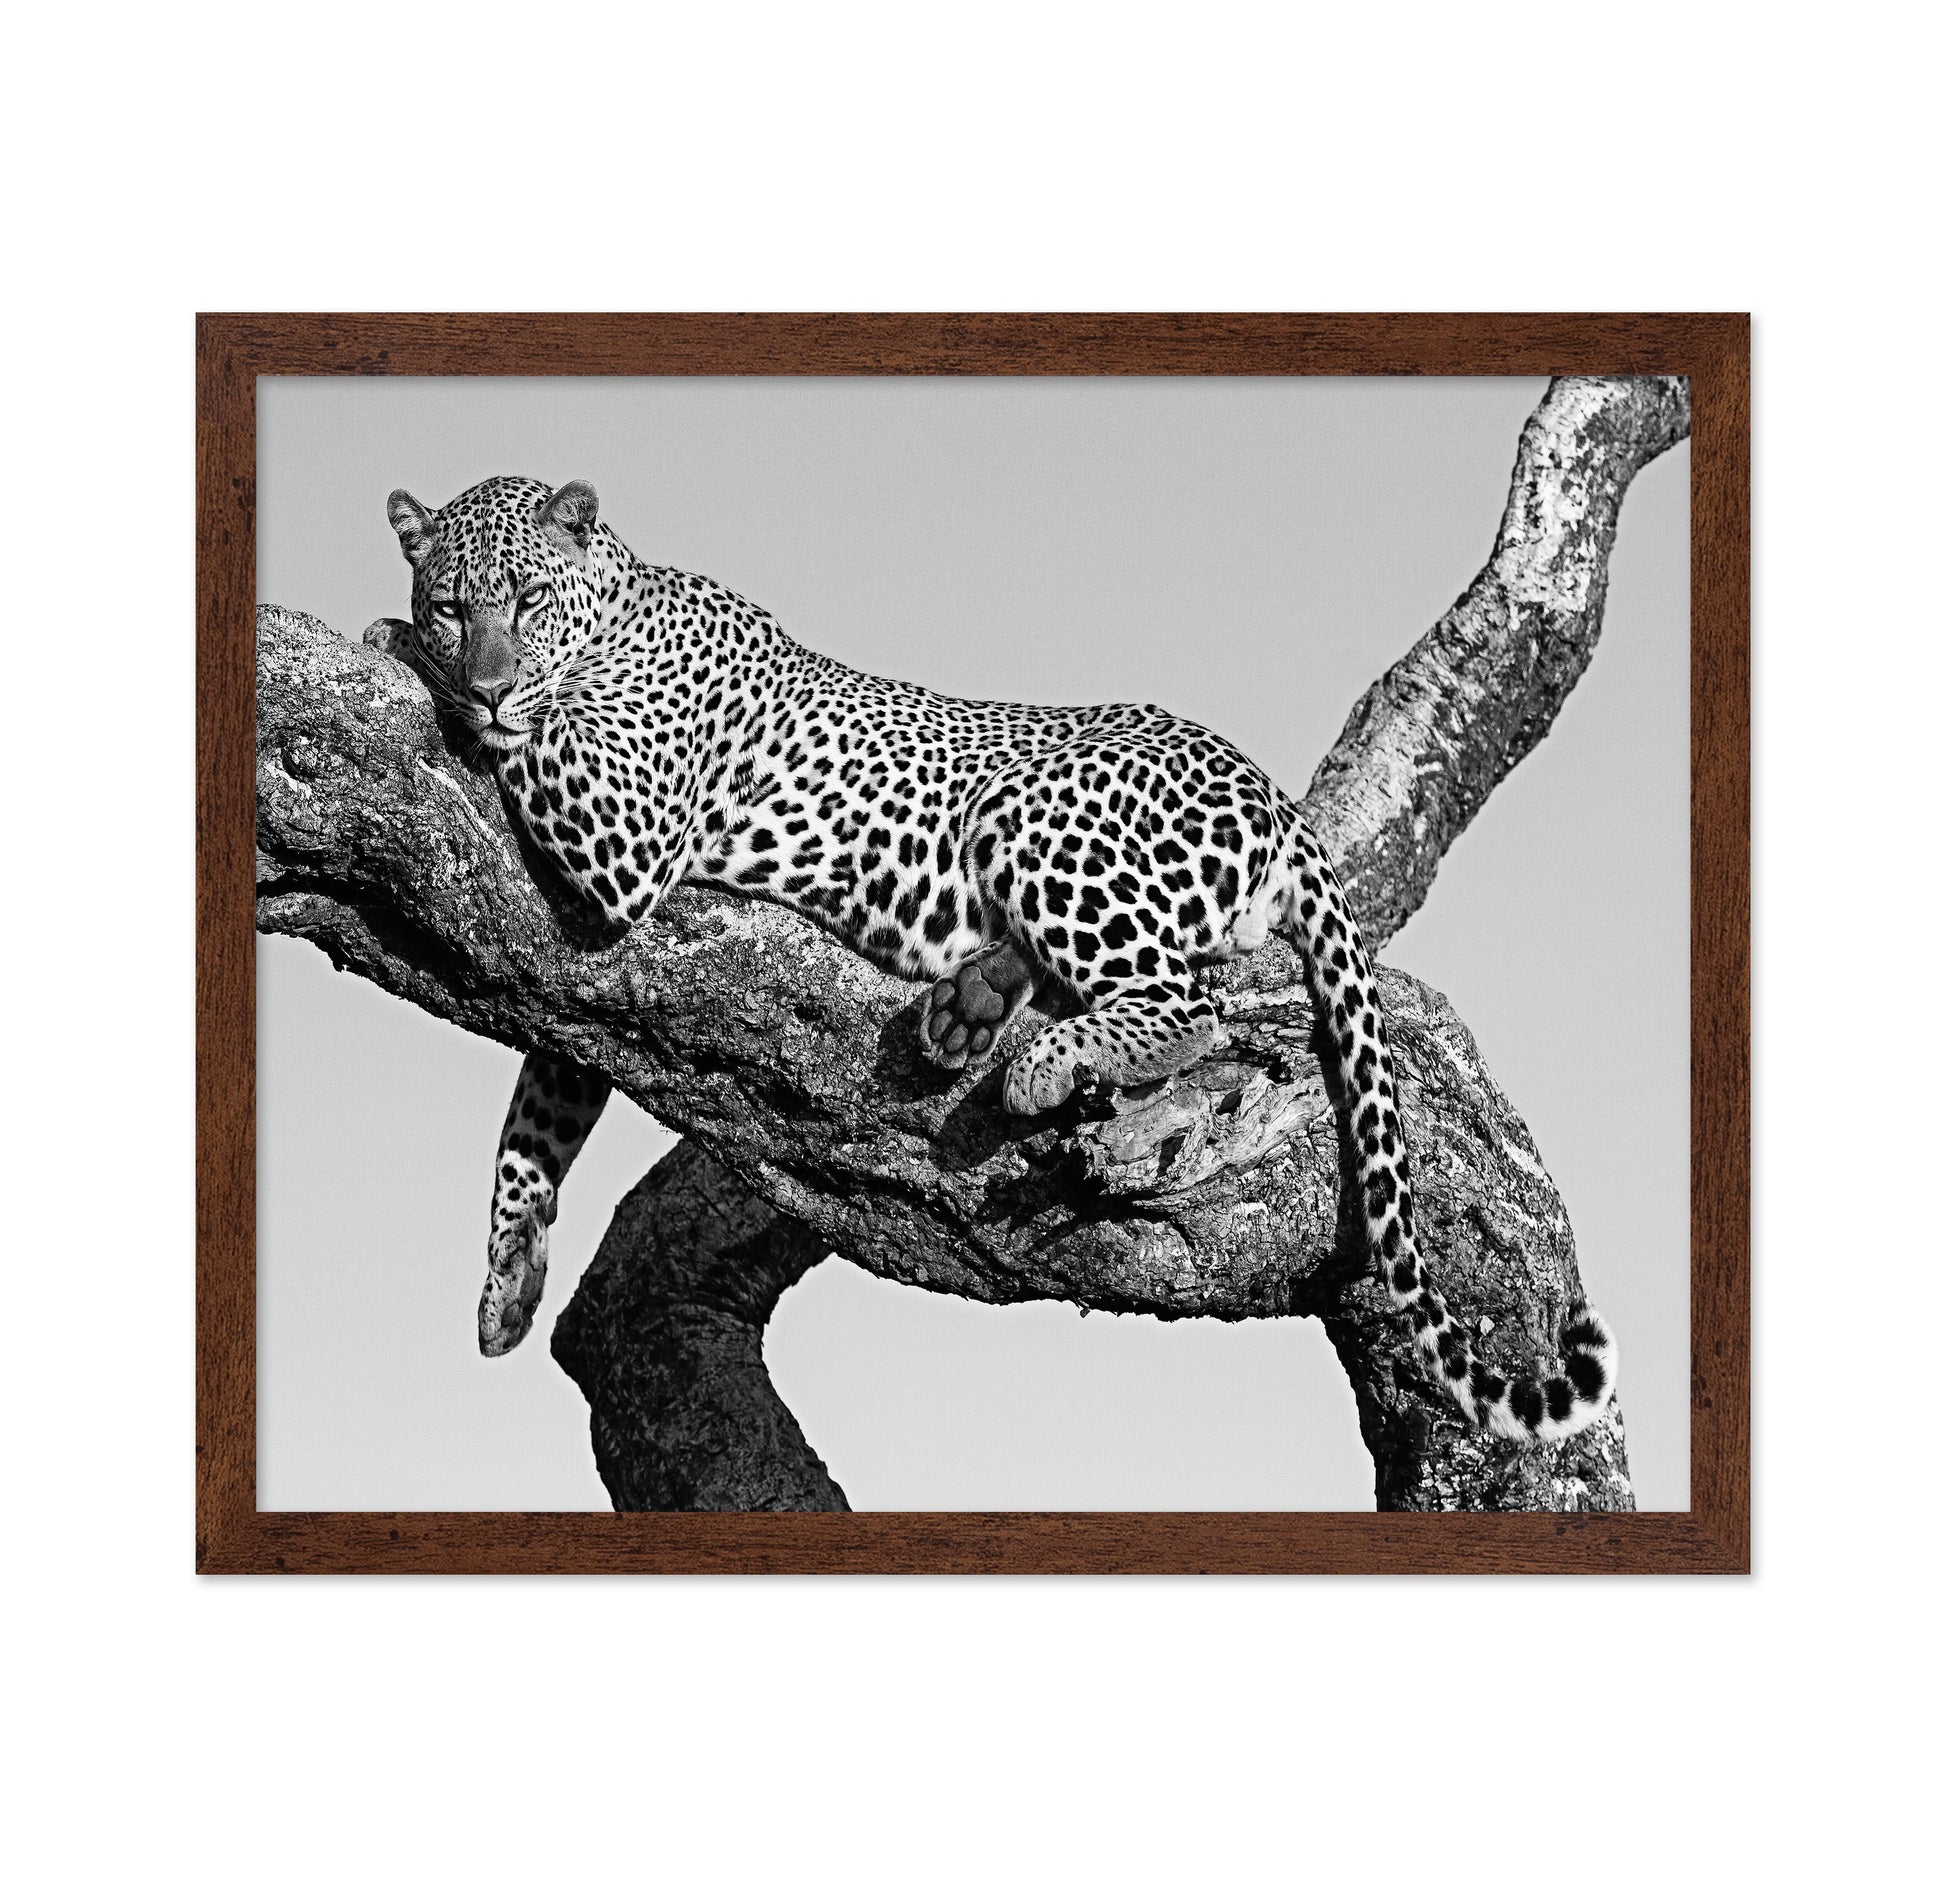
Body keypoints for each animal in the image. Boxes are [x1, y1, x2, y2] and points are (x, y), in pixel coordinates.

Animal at [369, 474, 1617, 1445]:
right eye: (453, 605)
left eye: (525, 602)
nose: (483, 680)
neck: (621, 603)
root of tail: (1270, 793)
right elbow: (541, 1106)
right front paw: (507, 1278)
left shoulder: (624, 832)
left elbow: (541, 744)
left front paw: (401, 652)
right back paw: (970, 1003)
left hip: (1035, 808)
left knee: (1191, 1001)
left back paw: (1040, 1058)